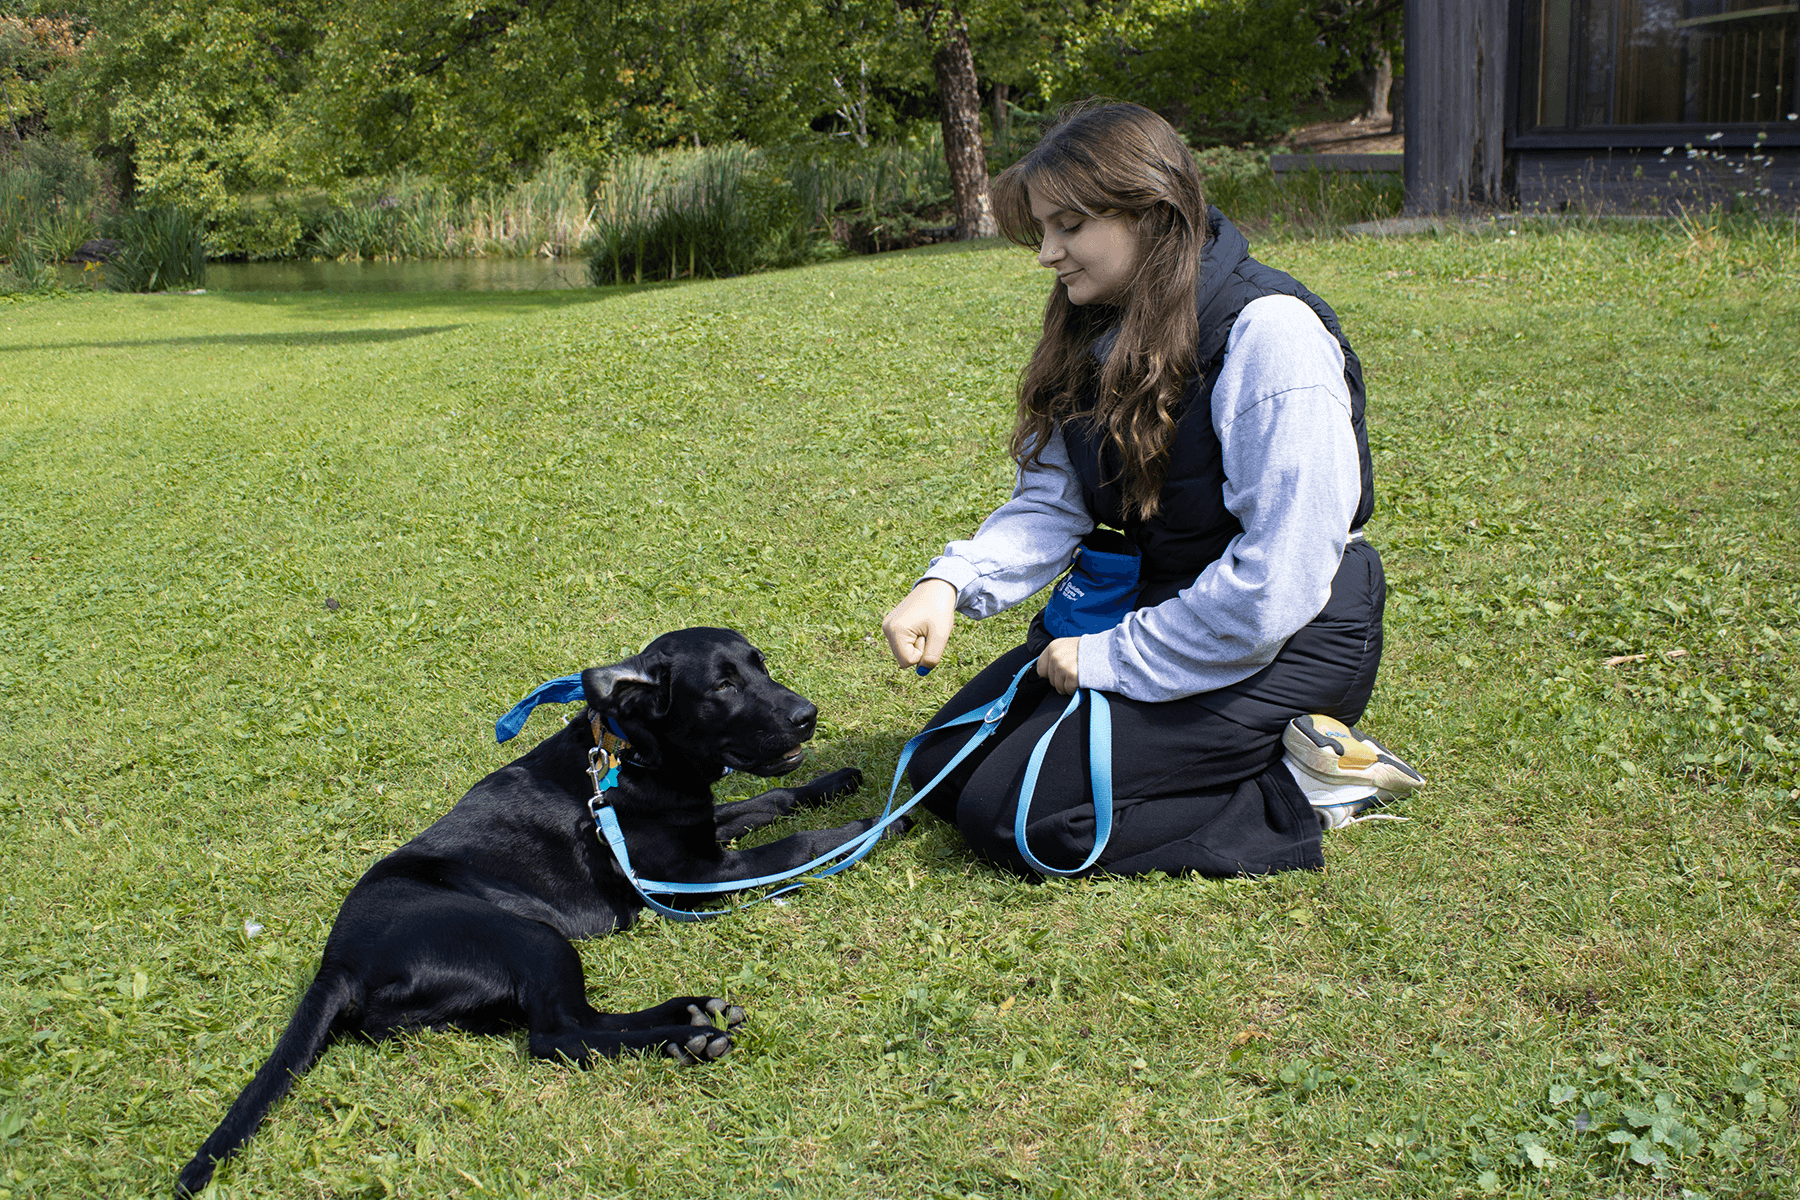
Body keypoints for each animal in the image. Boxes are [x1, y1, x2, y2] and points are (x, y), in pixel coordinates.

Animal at [177, 627, 898, 1196]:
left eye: (761, 666)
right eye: (722, 685)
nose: (807, 714)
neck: (633, 757)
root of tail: (338, 962)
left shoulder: (701, 831)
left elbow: (770, 800)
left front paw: (835, 783)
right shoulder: (692, 874)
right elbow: (791, 843)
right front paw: (876, 822)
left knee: (577, 1021)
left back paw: (691, 1017)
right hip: (528, 936)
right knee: (557, 1036)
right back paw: (686, 1038)